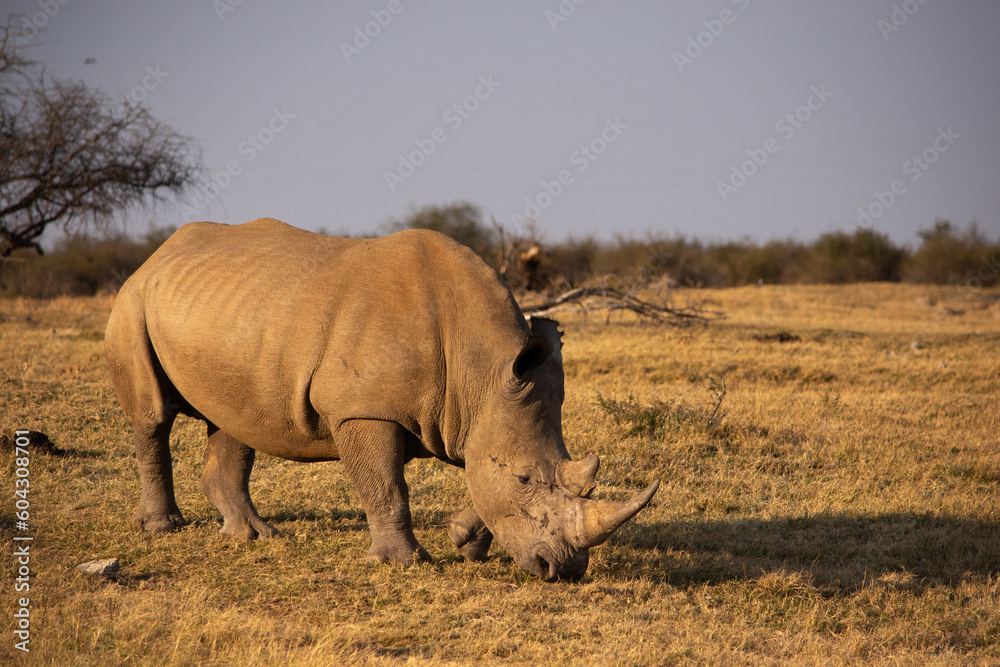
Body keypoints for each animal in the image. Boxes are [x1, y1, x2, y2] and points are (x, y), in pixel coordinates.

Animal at [105, 218, 659, 581]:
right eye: (525, 479)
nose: (562, 569)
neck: (479, 370)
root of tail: (157, 254)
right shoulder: (363, 409)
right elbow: (386, 485)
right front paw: (404, 563)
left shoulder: (480, 413)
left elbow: (480, 476)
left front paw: (464, 540)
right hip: (133, 299)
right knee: (153, 416)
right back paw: (163, 529)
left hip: (229, 314)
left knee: (235, 421)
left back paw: (254, 536)